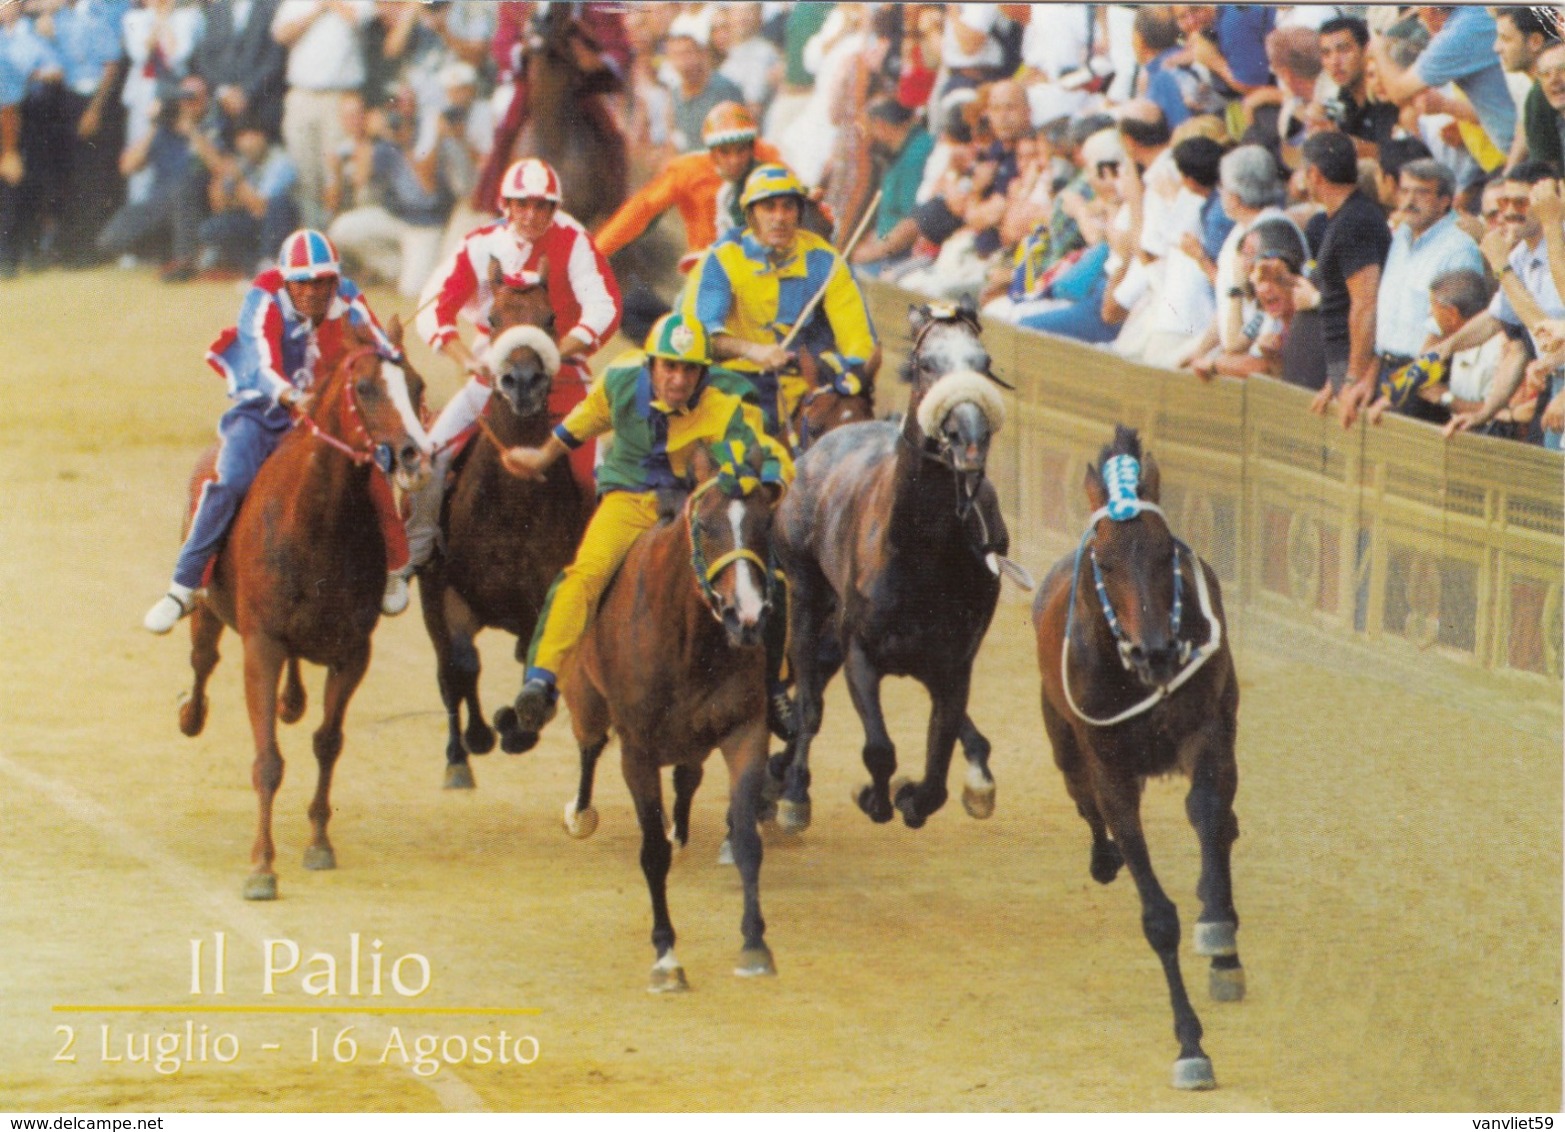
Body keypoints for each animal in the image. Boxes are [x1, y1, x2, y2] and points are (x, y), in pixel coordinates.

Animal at [175, 320, 431, 901]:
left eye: (417, 384)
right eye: (366, 387)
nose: (415, 456)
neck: (316, 523)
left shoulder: (353, 651)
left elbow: (327, 742)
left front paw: (318, 842)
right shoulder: (262, 645)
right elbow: (268, 761)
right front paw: (261, 868)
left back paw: (291, 701)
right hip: (207, 608)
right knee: (202, 662)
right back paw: (189, 711)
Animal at [416, 261, 591, 782]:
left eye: (550, 317)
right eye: (493, 319)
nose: (523, 380)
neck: (512, 506)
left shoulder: (546, 599)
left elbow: (539, 670)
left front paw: (515, 726)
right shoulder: (448, 591)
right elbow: (462, 662)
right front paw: (475, 737)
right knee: (447, 671)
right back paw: (459, 752)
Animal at [563, 441, 782, 989]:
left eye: (767, 522)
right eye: (704, 524)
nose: (747, 617)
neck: (689, 640)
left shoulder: (745, 731)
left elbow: (747, 840)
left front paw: (754, 945)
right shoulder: (638, 749)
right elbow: (651, 852)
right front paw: (666, 957)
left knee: (686, 776)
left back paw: (676, 823)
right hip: (586, 697)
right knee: (589, 745)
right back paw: (581, 812)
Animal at [1032, 422, 1239, 1089]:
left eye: (1166, 550)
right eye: (1104, 559)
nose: (1157, 652)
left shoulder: (1206, 729)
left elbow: (1207, 813)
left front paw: (1216, 928)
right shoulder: (1111, 769)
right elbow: (1156, 914)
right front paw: (1191, 1046)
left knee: (1221, 820)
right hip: (1063, 744)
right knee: (1085, 804)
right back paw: (1104, 858)